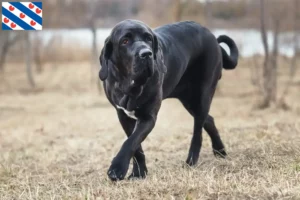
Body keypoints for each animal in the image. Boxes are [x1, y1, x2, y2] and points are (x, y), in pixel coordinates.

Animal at [99, 19, 238, 180]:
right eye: (125, 41)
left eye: (148, 38)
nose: (146, 54)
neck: (130, 85)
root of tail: (212, 37)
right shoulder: (123, 115)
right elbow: (136, 145)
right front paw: (139, 173)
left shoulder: (148, 117)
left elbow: (131, 142)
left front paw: (117, 168)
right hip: (189, 100)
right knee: (209, 120)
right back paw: (220, 150)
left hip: (203, 94)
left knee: (198, 132)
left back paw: (191, 161)